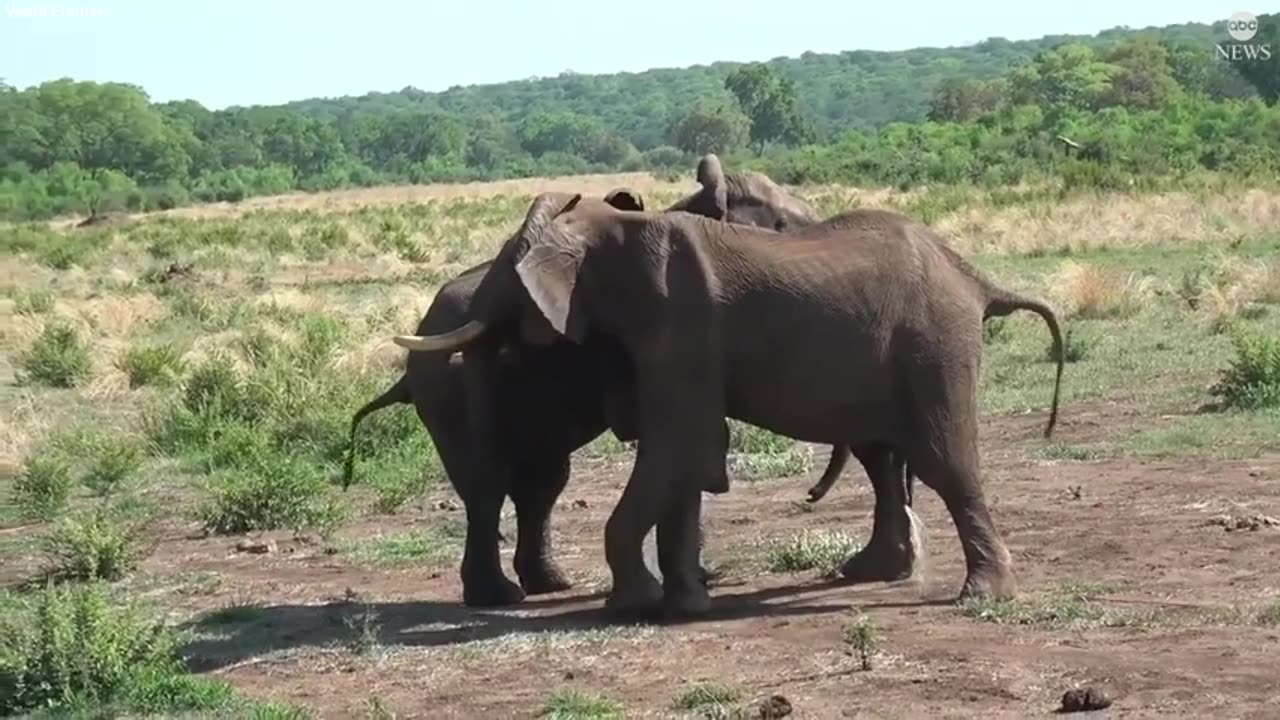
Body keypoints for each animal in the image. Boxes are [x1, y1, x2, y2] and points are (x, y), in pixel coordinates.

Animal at [345, 155, 860, 604]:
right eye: (782, 228)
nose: (810, 495)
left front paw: (696, 579)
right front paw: (695, 581)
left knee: (541, 483)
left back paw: (551, 585)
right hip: (444, 393)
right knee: (487, 485)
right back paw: (500, 597)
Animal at [394, 192, 1064, 617]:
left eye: (511, 265)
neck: (613, 227)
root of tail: (975, 278)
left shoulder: (679, 321)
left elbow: (678, 450)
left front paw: (634, 603)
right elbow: (686, 459)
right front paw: (683, 602)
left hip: (934, 344)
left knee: (945, 462)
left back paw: (981, 595)